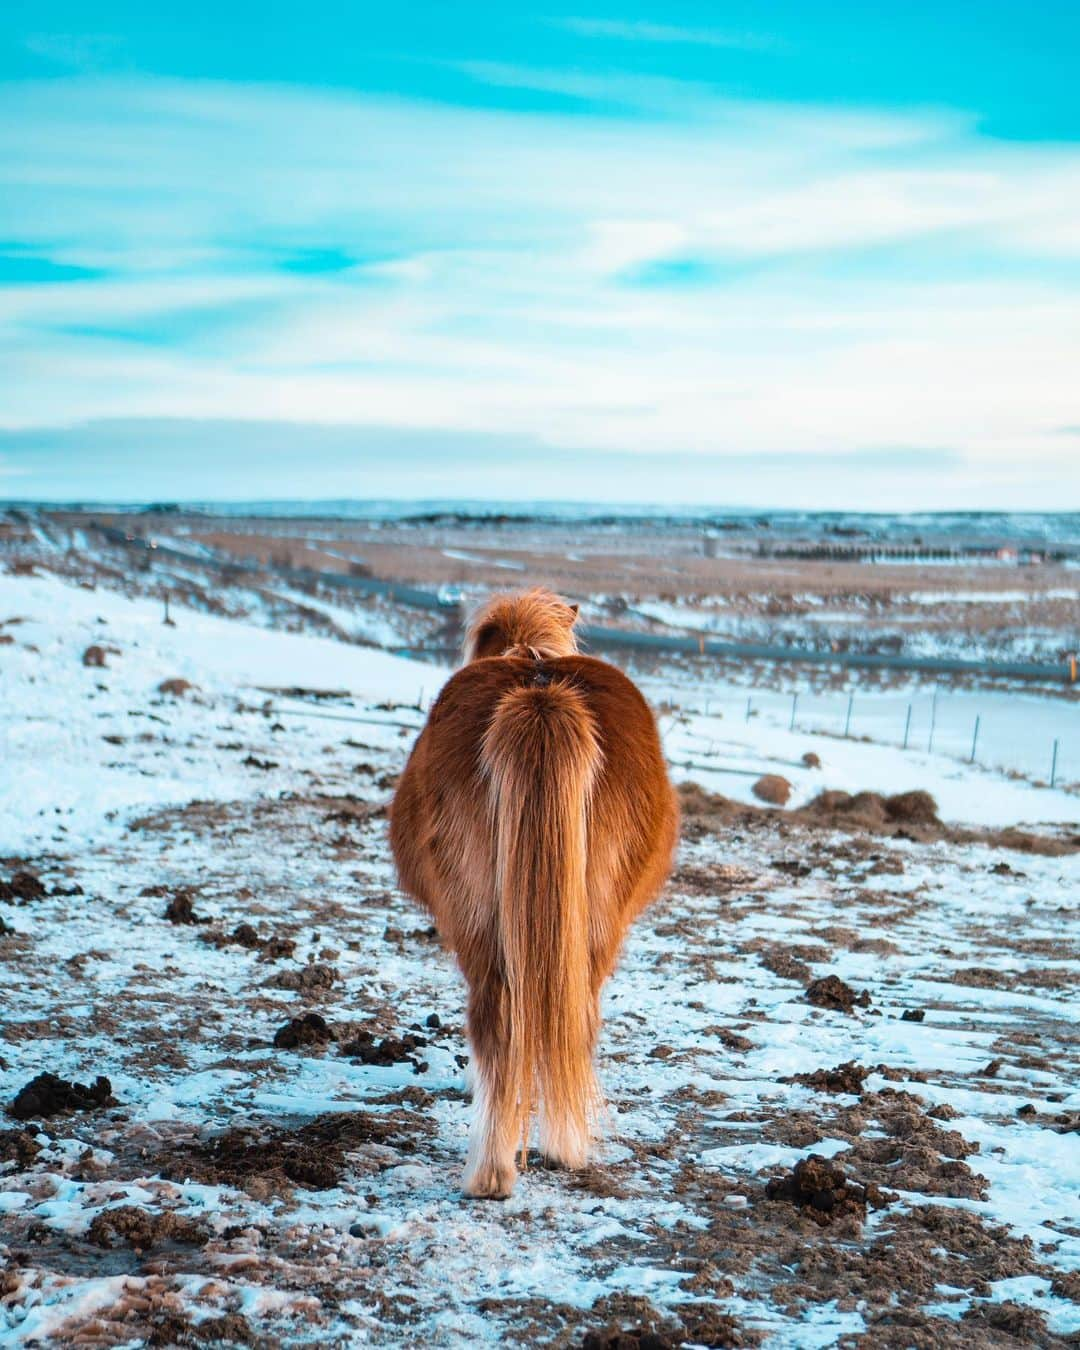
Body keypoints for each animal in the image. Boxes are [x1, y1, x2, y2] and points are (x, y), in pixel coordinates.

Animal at [388, 585, 675, 1198]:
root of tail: (540, 697)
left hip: (489, 923)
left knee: (507, 1019)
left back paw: (504, 1167)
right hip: (589, 924)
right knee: (564, 1016)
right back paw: (545, 1154)